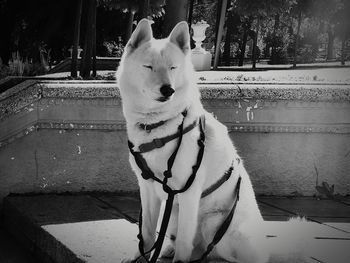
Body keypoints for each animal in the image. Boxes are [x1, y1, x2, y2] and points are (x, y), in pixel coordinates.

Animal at [117, 19, 306, 263]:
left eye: (173, 68)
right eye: (148, 66)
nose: (168, 89)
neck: (158, 125)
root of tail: (267, 247)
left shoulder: (187, 192)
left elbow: (184, 240)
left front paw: (178, 260)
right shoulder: (148, 189)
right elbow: (147, 233)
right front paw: (140, 256)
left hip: (214, 223)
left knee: (218, 252)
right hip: (177, 214)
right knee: (191, 245)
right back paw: (170, 249)